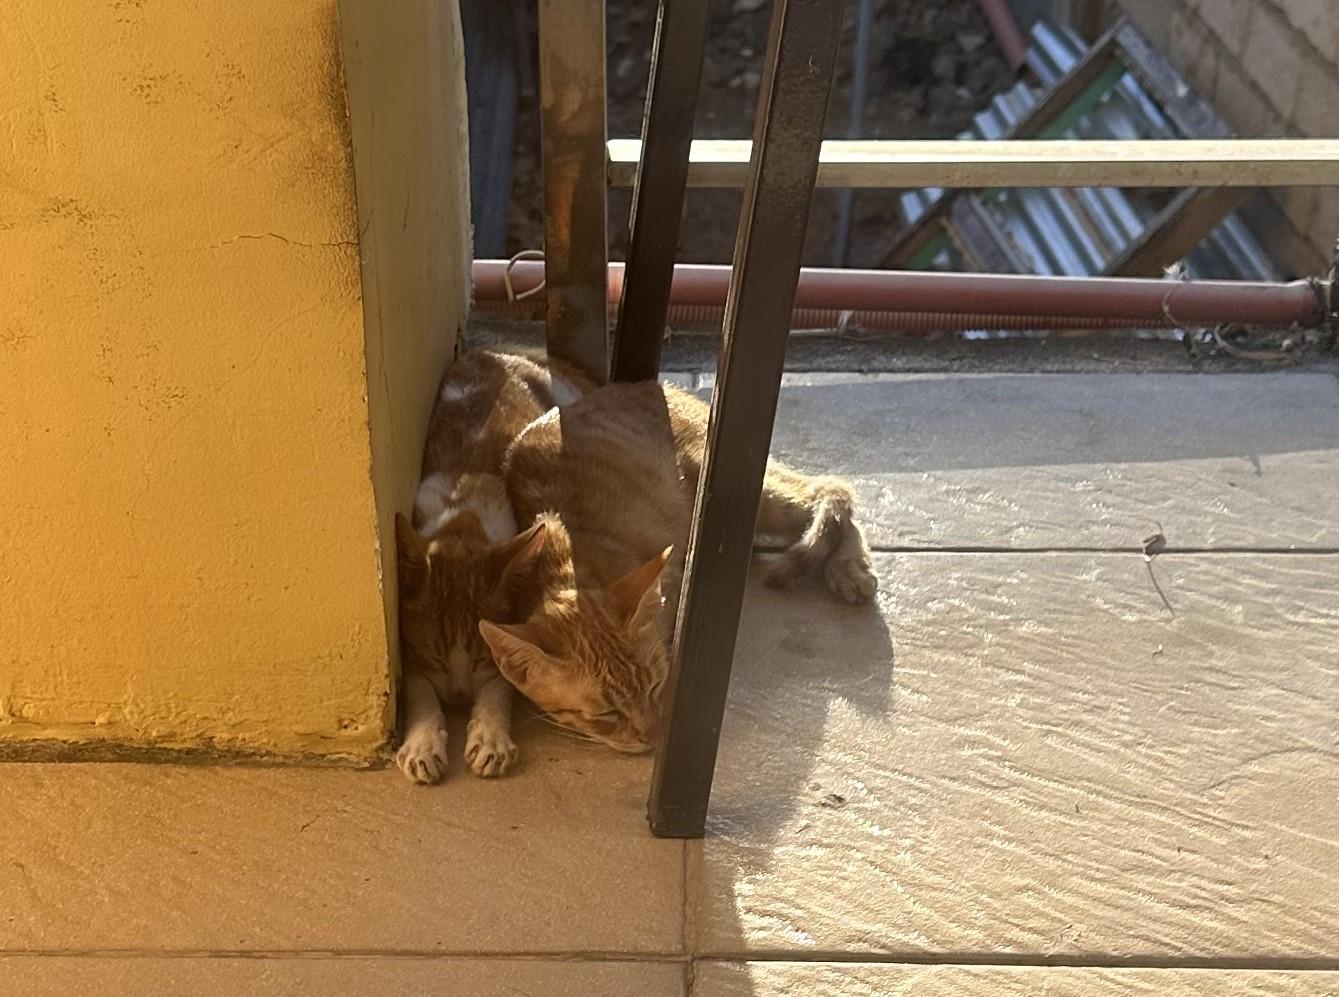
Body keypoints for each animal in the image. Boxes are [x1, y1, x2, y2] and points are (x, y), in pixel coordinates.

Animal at [390, 345, 591, 781]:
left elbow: (501, 683)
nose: (459, 697)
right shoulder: (410, 655)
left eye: (481, 656)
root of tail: (499, 350)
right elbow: (420, 691)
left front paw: (490, 737)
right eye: (435, 654)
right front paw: (423, 742)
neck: (462, 512)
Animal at [482, 377, 878, 749]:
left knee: (827, 490)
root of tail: (652, 385)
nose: (650, 735)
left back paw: (850, 566)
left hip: (742, 493)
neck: (568, 557)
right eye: (607, 715)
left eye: (656, 685)